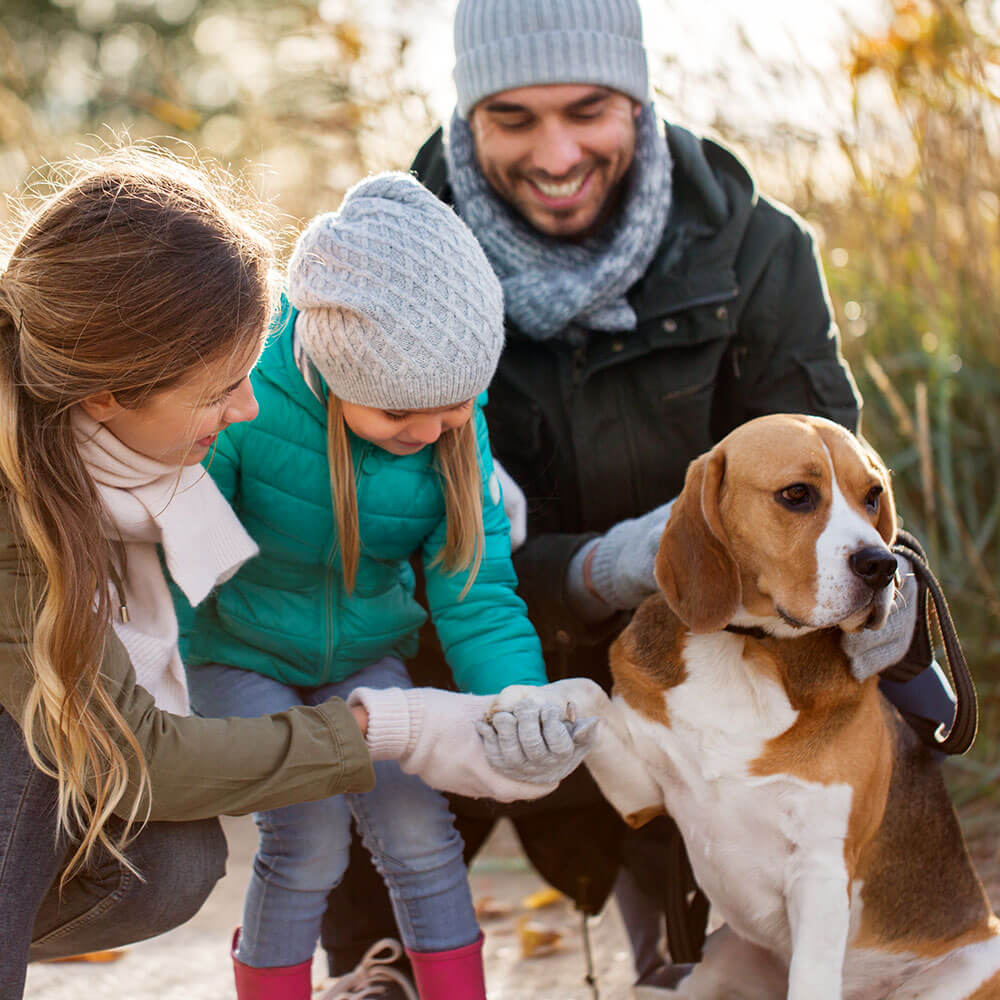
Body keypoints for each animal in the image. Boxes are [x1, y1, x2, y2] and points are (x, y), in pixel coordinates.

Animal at [494, 414, 1000, 1000]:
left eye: (873, 496)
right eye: (797, 494)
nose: (883, 564)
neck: (747, 648)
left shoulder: (820, 871)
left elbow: (811, 976)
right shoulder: (639, 795)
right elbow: (587, 690)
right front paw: (532, 706)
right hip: (709, 967)